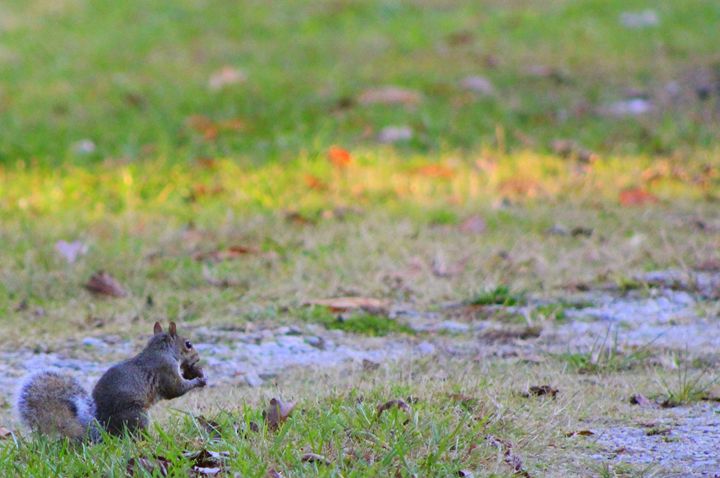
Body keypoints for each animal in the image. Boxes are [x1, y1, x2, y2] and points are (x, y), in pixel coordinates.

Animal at [16, 321, 207, 440]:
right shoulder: (165, 369)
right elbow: (176, 389)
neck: (161, 349)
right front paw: (199, 380)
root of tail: (102, 431)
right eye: (188, 344)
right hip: (136, 415)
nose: (198, 357)